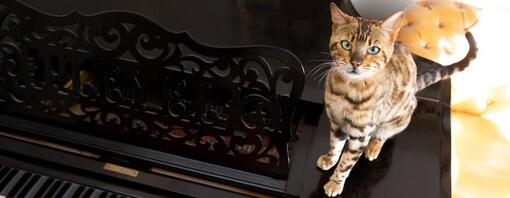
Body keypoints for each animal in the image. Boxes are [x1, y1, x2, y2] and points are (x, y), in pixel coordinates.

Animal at [318, 2, 478, 196]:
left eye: (373, 50)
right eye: (346, 44)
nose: (355, 63)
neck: (346, 92)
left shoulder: (361, 135)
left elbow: (346, 163)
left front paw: (335, 183)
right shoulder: (336, 124)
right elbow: (335, 146)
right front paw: (329, 159)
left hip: (395, 119)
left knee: (383, 134)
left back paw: (374, 147)